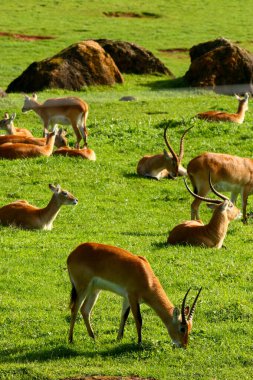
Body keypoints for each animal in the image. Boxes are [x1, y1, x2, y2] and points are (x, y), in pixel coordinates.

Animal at [67, 243, 202, 348]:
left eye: (190, 328)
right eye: (182, 328)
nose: (184, 345)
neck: (146, 277)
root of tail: (73, 253)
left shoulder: (127, 298)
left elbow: (124, 316)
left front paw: (119, 338)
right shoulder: (133, 297)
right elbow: (138, 319)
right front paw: (139, 342)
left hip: (94, 290)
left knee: (85, 310)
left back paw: (93, 337)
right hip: (82, 288)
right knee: (75, 309)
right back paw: (71, 340)